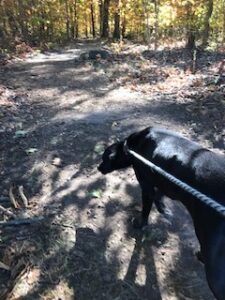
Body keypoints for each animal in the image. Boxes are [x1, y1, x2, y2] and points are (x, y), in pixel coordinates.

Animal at [98, 126, 225, 300]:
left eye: (104, 158)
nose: (99, 168)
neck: (131, 146)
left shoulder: (146, 185)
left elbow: (146, 209)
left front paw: (141, 223)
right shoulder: (161, 181)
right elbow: (159, 195)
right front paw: (163, 209)